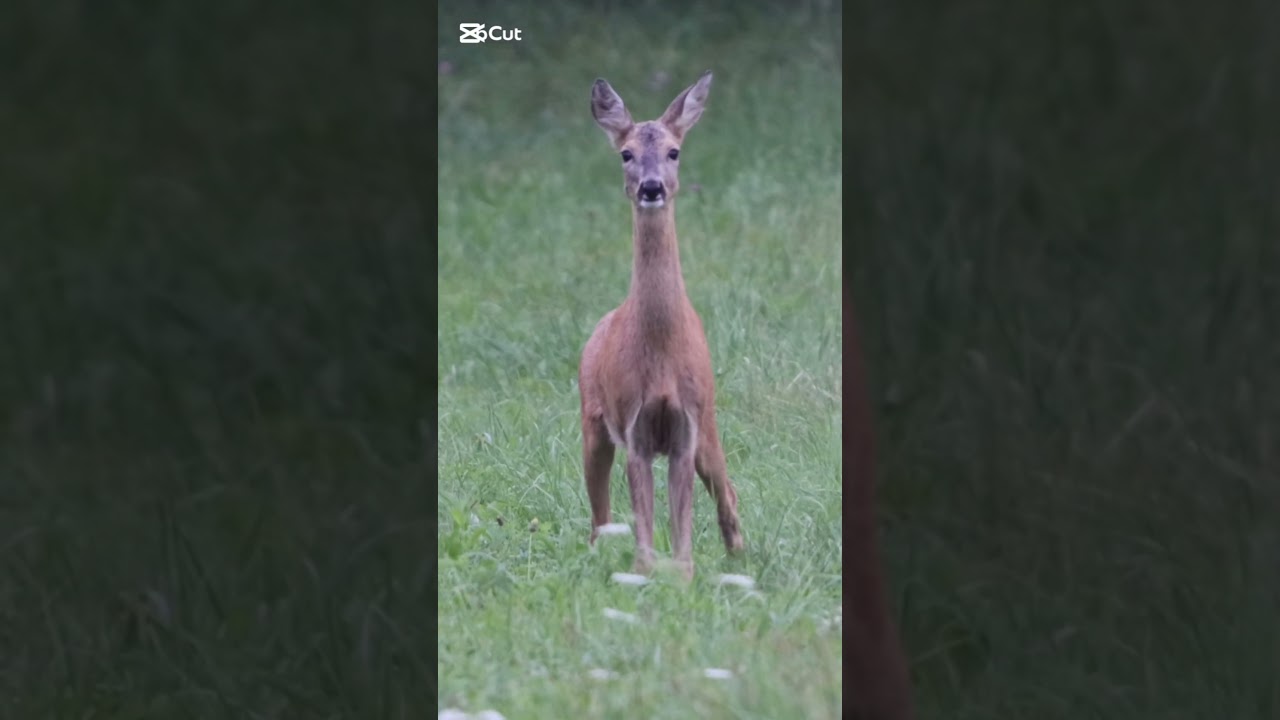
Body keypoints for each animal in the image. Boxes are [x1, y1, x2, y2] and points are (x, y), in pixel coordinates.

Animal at [578, 71, 743, 581]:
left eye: (675, 152)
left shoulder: (687, 427)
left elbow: (681, 526)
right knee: (600, 517)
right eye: (626, 154)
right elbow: (646, 526)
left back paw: (739, 553)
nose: (651, 187)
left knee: (728, 491)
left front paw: (683, 577)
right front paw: (646, 573)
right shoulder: (633, 427)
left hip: (710, 426)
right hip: (592, 426)